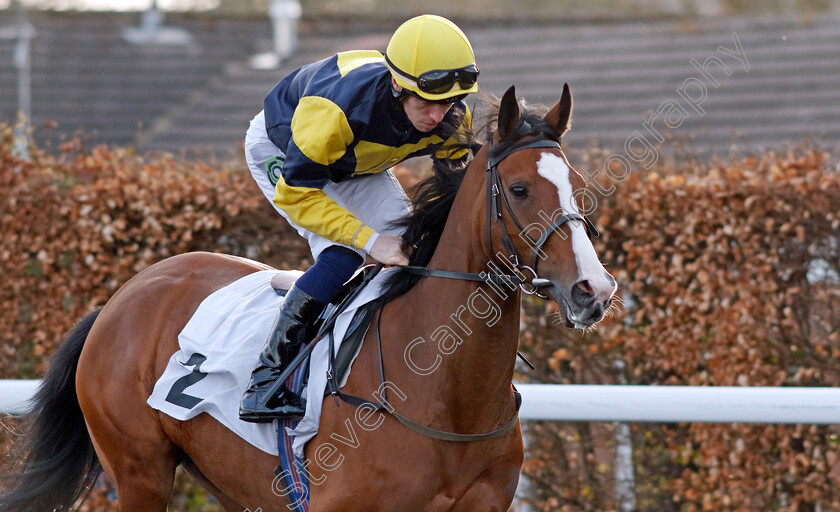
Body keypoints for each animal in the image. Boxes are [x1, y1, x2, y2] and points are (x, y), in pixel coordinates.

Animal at [0, 85, 616, 512]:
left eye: (577, 182)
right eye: (519, 189)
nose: (594, 289)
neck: (446, 398)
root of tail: (118, 300)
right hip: (138, 471)